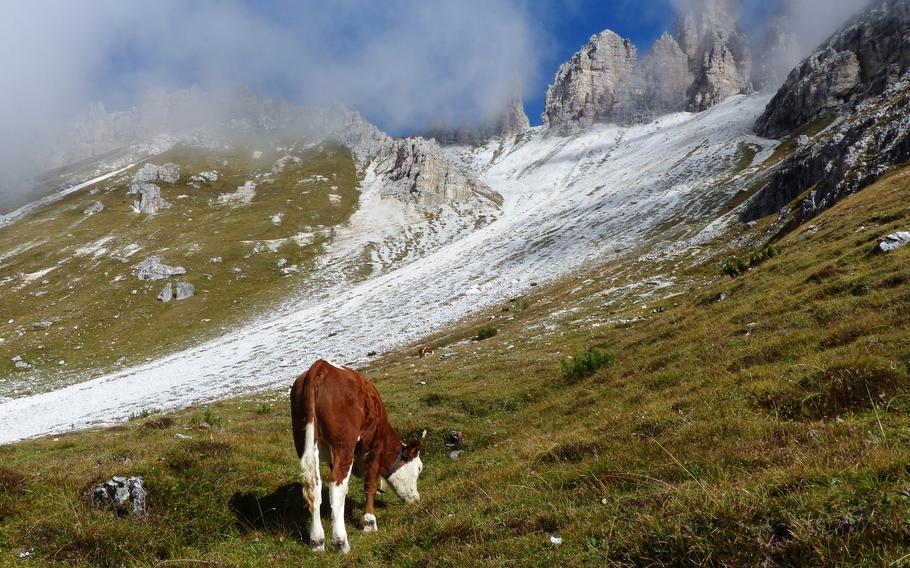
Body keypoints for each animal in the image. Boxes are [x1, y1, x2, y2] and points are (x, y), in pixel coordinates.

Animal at [290, 358, 426, 552]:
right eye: (419, 468)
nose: (416, 499)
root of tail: (321, 366)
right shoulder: (377, 447)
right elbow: (370, 484)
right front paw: (369, 522)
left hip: (305, 441)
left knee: (314, 486)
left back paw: (317, 541)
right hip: (344, 444)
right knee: (336, 484)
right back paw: (340, 542)